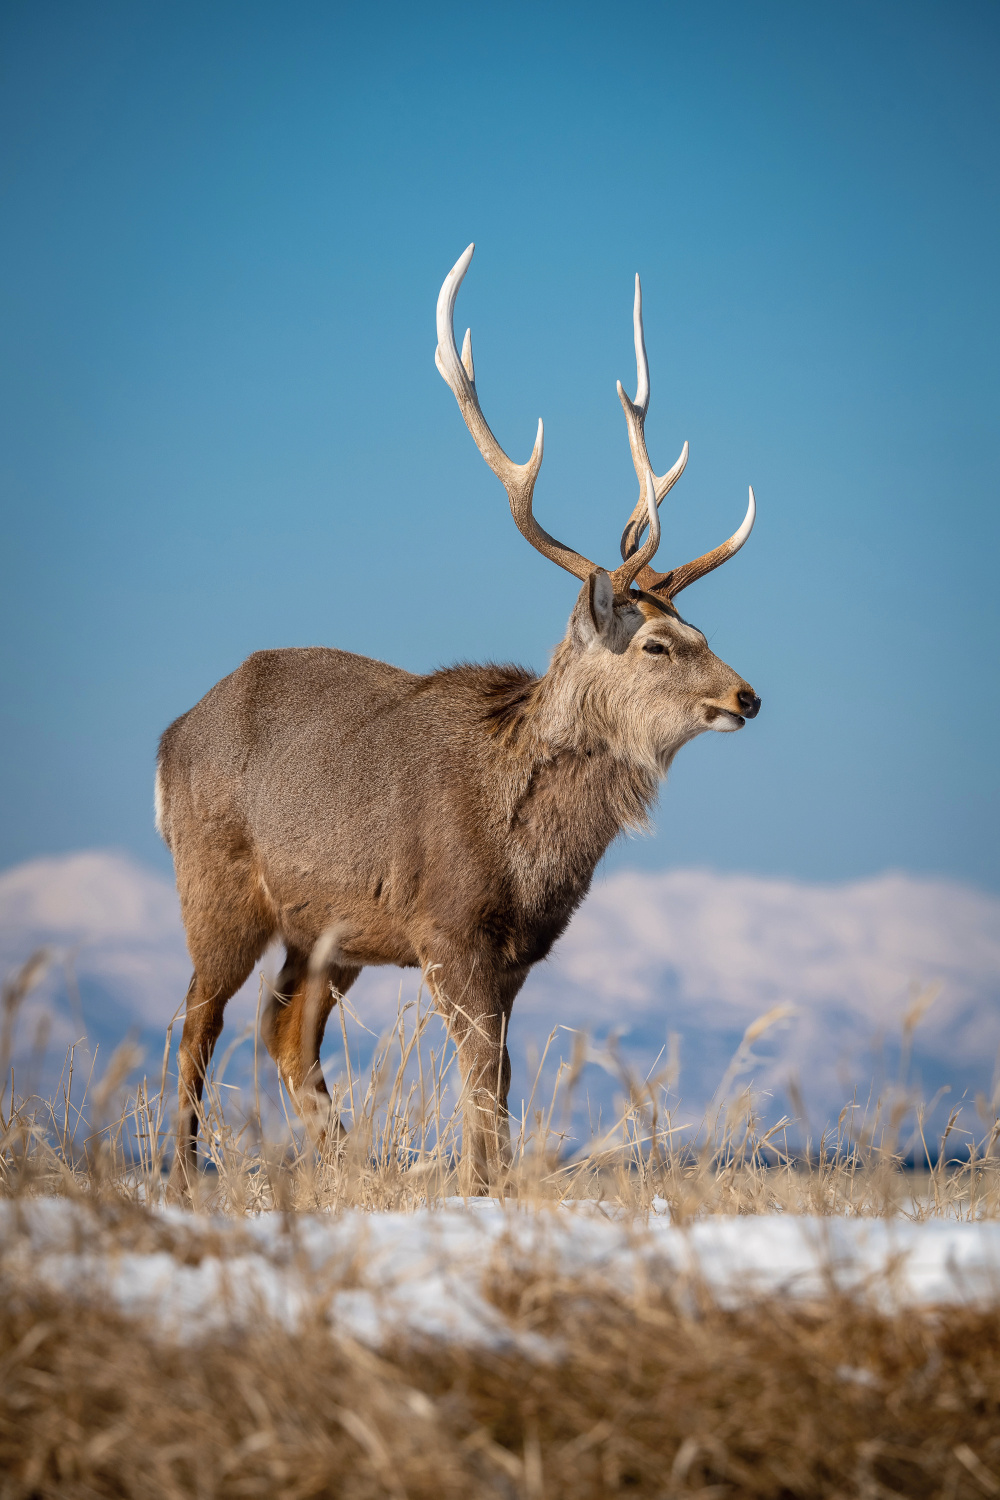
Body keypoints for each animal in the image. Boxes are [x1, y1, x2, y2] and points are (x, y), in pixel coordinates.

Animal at [156, 240, 758, 1188]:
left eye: (705, 631)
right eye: (658, 645)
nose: (747, 695)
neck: (525, 849)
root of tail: (168, 737)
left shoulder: (514, 953)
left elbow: (498, 1074)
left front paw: (486, 1180)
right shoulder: (447, 926)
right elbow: (480, 1071)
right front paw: (482, 1185)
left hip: (326, 929)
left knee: (284, 1032)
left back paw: (344, 1163)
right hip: (214, 883)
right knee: (197, 1017)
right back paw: (183, 1171)